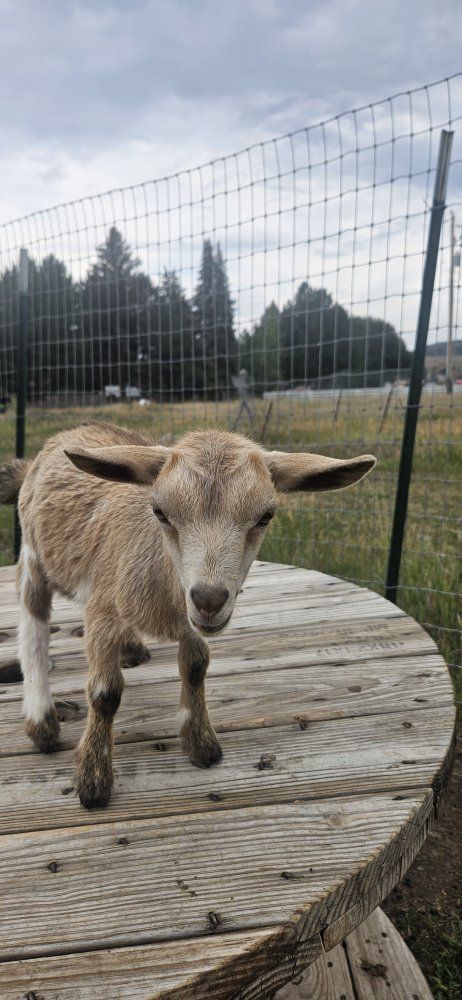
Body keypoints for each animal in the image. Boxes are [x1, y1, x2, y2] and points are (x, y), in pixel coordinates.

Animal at [0, 422, 375, 809]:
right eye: (160, 512)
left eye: (266, 516)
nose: (209, 599)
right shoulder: (103, 609)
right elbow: (105, 693)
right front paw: (93, 780)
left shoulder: (189, 622)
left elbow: (195, 667)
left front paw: (201, 742)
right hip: (33, 554)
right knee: (32, 622)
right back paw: (41, 721)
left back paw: (130, 648)